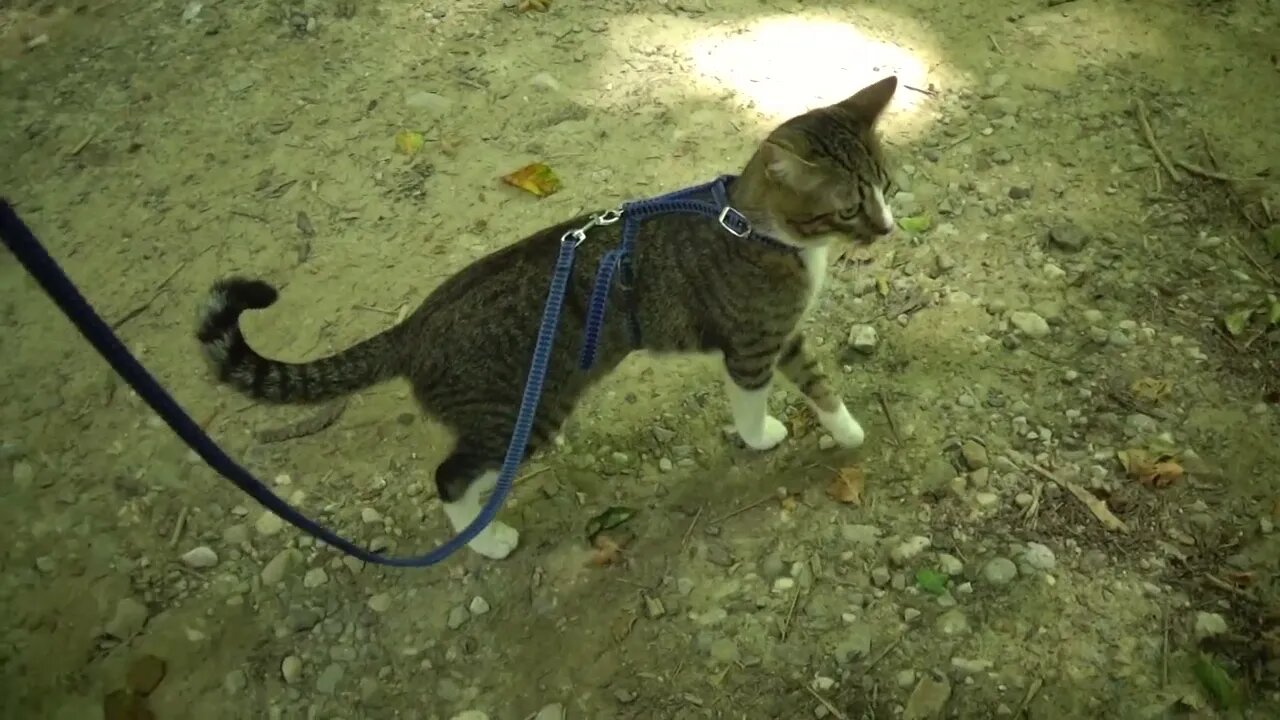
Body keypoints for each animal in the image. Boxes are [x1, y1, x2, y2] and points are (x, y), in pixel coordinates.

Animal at [197, 77, 901, 561]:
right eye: (848, 209)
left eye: (888, 187)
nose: (889, 228)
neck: (751, 225)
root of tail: (414, 326)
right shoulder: (751, 344)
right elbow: (752, 402)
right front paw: (764, 437)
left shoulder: (784, 335)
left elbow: (819, 380)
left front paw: (847, 430)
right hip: (518, 415)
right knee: (449, 476)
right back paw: (486, 540)